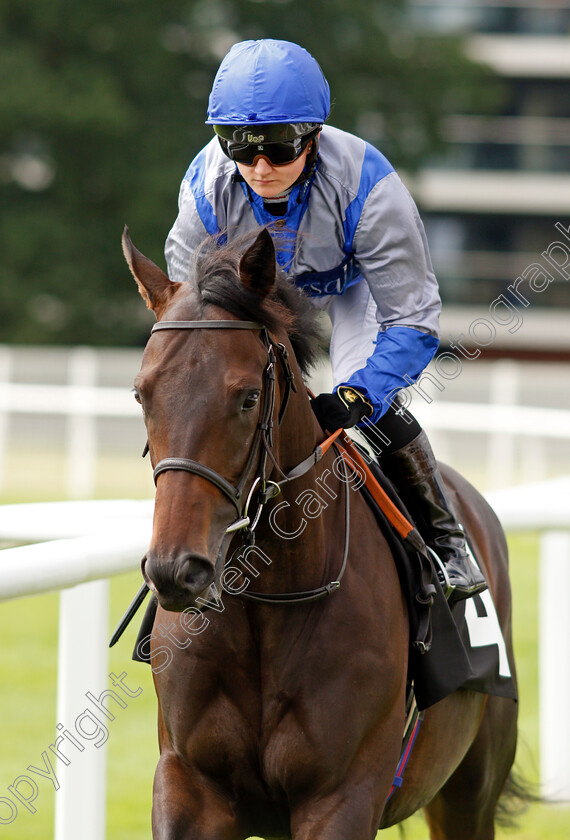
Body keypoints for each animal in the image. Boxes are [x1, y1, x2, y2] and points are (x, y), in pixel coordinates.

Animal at [122, 225, 516, 840]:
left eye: (248, 398)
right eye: (143, 394)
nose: (176, 570)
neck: (262, 607)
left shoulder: (341, 797)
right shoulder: (189, 783)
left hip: (469, 791)